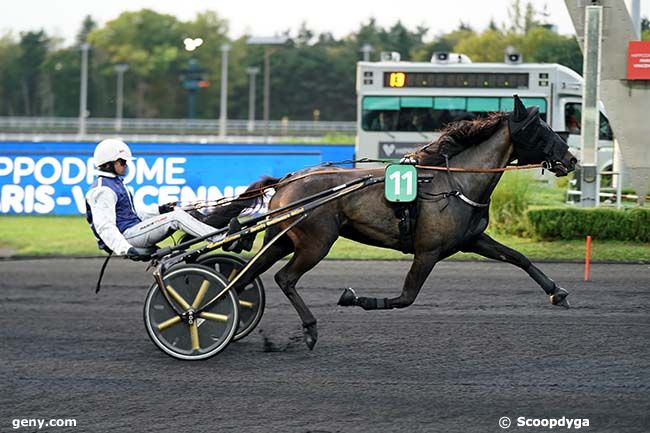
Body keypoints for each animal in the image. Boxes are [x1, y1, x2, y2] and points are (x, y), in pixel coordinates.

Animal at [205, 96, 576, 350]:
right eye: (541, 130)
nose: (571, 159)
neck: (455, 182)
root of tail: (288, 179)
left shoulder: (471, 240)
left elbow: (519, 258)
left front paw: (557, 292)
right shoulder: (427, 251)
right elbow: (405, 297)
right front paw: (354, 298)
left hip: (282, 238)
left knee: (245, 275)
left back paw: (219, 310)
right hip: (315, 242)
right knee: (285, 278)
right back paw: (306, 327)